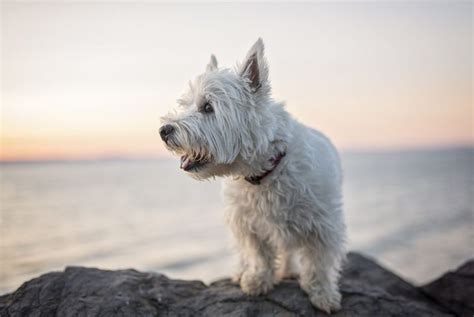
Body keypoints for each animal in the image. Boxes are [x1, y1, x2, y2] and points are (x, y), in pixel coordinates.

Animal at [161, 39, 346, 312]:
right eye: (187, 104)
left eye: (208, 107)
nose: (164, 130)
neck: (263, 173)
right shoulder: (247, 222)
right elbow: (258, 254)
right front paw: (258, 280)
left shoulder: (323, 225)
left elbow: (319, 262)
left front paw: (323, 294)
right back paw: (243, 272)